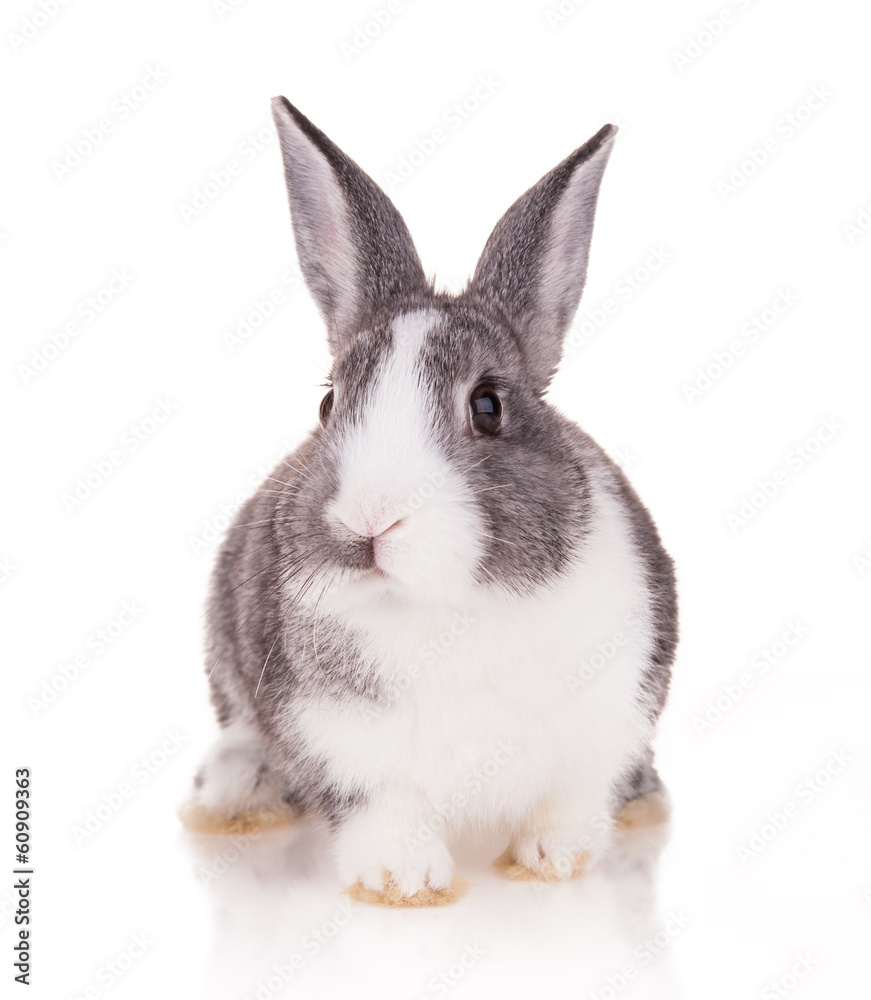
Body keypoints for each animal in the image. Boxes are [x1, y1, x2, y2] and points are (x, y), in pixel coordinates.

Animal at [181, 99, 676, 908]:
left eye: (487, 406)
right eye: (328, 404)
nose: (368, 521)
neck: (449, 608)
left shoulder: (604, 723)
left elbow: (569, 804)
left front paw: (554, 861)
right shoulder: (342, 743)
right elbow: (386, 811)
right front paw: (404, 883)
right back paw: (232, 796)